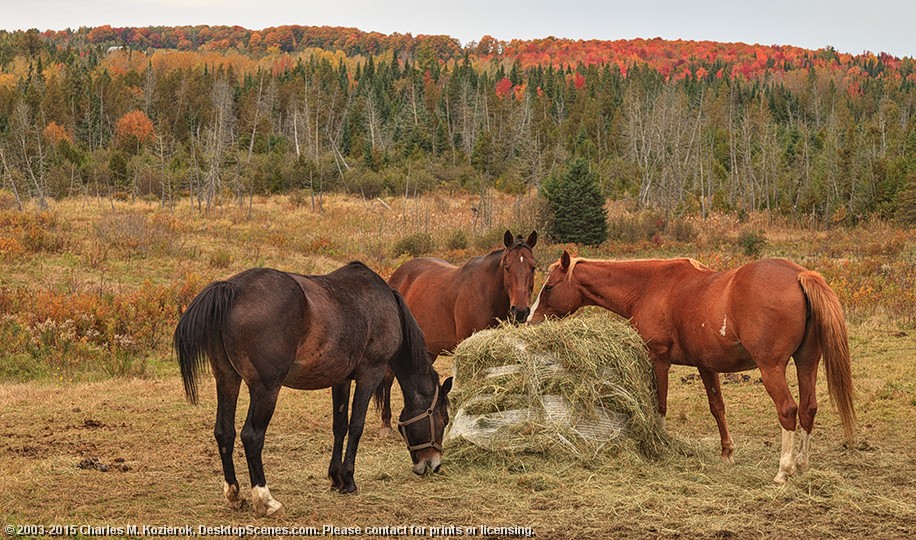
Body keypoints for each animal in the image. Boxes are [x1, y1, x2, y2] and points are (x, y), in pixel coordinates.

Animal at [174, 264, 452, 516]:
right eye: (443, 420)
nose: (433, 465)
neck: (386, 306)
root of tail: (231, 288)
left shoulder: (340, 380)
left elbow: (340, 427)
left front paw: (336, 479)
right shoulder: (370, 374)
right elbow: (356, 426)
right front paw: (349, 480)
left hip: (227, 380)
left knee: (225, 432)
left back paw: (234, 495)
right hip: (266, 389)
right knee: (251, 436)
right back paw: (266, 500)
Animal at [378, 231, 540, 434]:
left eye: (533, 267)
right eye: (507, 267)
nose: (520, 311)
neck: (487, 294)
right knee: (388, 377)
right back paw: (386, 423)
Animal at [524, 251, 856, 484]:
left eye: (549, 286)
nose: (529, 319)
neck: (650, 286)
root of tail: (799, 274)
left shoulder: (658, 359)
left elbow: (659, 405)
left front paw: (660, 445)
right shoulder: (706, 366)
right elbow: (717, 407)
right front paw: (726, 453)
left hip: (771, 368)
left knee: (788, 410)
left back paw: (783, 470)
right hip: (806, 363)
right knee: (808, 409)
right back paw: (802, 464)